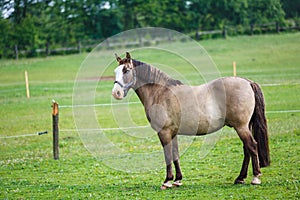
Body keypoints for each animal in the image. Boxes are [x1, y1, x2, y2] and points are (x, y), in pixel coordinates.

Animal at [112, 52, 270, 190]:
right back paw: (240, 178)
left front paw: (167, 181)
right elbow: (175, 154)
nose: (116, 93)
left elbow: (168, 155)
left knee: (252, 146)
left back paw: (255, 178)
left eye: (126, 70)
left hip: (241, 127)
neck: (160, 92)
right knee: (247, 149)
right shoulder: (172, 133)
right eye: (115, 71)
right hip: (244, 127)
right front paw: (177, 180)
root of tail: (247, 82)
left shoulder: (164, 132)